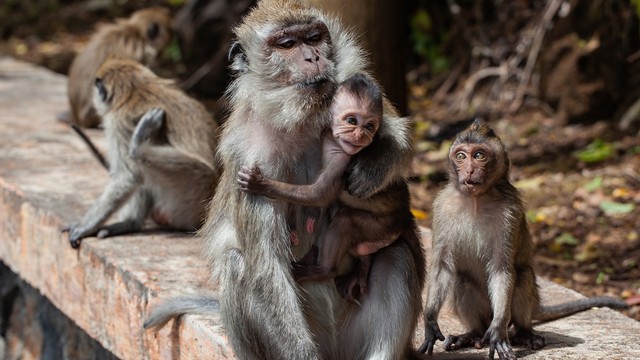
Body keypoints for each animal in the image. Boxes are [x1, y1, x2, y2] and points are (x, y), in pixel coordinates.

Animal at [418, 120, 628, 360]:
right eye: (461, 156)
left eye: (479, 155)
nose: (469, 170)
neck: (476, 200)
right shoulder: (442, 206)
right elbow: (442, 266)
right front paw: (430, 321)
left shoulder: (510, 211)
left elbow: (502, 269)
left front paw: (498, 330)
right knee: (463, 281)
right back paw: (473, 334)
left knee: (523, 277)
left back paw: (523, 332)